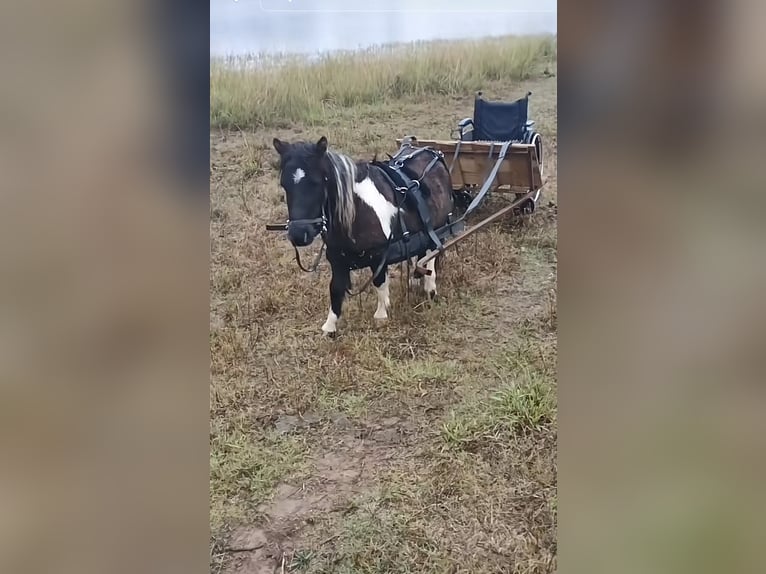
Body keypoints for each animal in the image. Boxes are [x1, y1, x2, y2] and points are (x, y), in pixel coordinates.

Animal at [274, 136, 460, 338]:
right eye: (284, 184)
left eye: (316, 183)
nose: (299, 234)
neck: (359, 211)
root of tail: (432, 152)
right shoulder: (337, 258)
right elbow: (336, 289)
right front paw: (330, 327)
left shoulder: (379, 254)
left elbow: (379, 282)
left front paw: (381, 314)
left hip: (437, 227)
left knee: (432, 253)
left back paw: (430, 288)